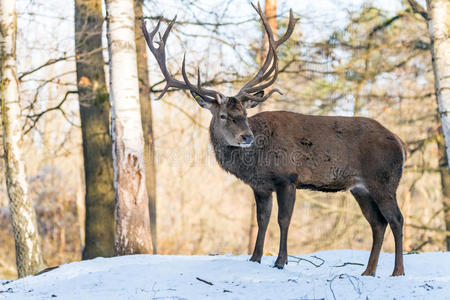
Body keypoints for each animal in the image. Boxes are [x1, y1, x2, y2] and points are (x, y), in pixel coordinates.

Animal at [143, 4, 408, 276]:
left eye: (244, 114)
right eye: (224, 115)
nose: (246, 137)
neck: (255, 162)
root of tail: (400, 143)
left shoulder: (287, 177)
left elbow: (283, 219)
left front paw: (281, 261)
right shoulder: (260, 186)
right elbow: (263, 219)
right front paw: (255, 258)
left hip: (384, 180)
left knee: (397, 219)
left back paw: (397, 271)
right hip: (360, 188)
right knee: (378, 223)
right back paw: (368, 271)